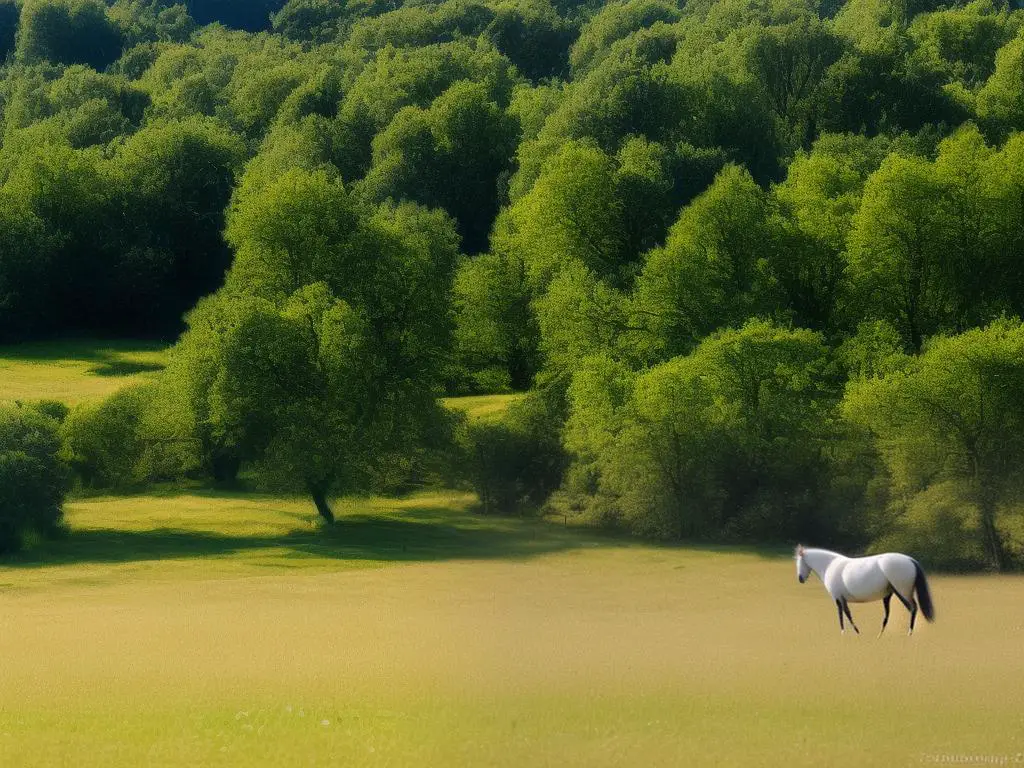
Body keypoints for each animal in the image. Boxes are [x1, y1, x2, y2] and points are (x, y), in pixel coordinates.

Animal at [798, 548, 937, 638]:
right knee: (888, 614)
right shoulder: (842, 599)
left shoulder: (837, 598)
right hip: (891, 594)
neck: (829, 565)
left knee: (912, 608)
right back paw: (880, 635)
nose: (800, 579)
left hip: (902, 592)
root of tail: (910, 560)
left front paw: (850, 633)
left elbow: (843, 615)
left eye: (800, 561)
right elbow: (846, 614)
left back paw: (909, 634)